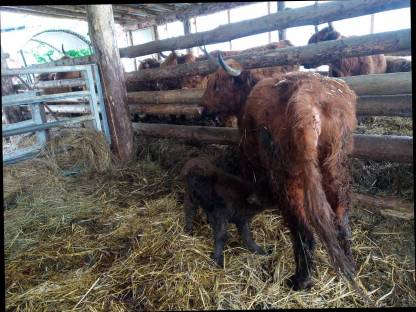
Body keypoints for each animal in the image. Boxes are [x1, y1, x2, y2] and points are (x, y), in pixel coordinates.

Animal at [200, 56, 360, 292]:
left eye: (217, 85)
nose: (201, 107)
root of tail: (309, 99)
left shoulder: (248, 155)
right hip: (336, 168)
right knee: (342, 219)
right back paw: (349, 263)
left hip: (290, 178)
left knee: (304, 232)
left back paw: (300, 280)